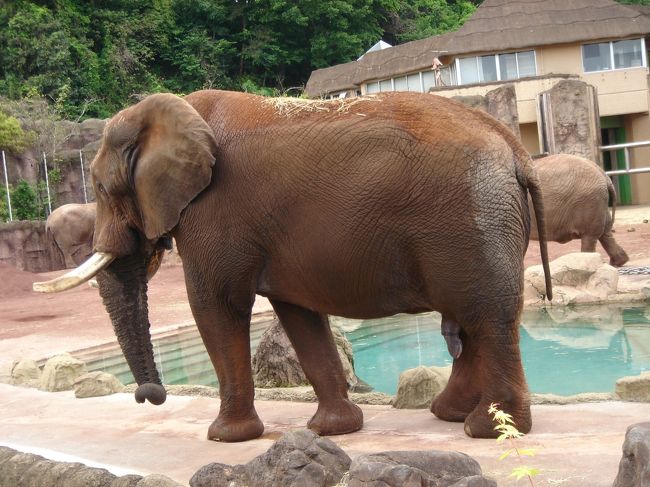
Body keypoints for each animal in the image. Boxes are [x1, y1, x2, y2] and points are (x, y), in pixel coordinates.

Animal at [34, 90, 552, 442]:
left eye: (103, 189)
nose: (148, 395)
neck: (176, 110)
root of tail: (516, 149)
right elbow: (298, 313)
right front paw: (333, 430)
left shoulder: (214, 214)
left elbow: (217, 305)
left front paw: (224, 437)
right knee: (469, 319)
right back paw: (451, 415)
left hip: (471, 220)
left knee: (486, 316)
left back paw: (487, 430)